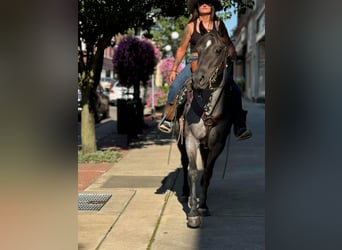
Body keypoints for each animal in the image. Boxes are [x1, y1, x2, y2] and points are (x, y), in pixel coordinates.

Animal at [176, 30, 235, 228]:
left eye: (218, 49)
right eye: (198, 50)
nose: (197, 80)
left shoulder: (218, 144)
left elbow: (208, 173)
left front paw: (203, 205)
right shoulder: (191, 139)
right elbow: (193, 171)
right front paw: (193, 214)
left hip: (206, 144)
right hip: (182, 141)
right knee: (184, 162)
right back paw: (186, 192)